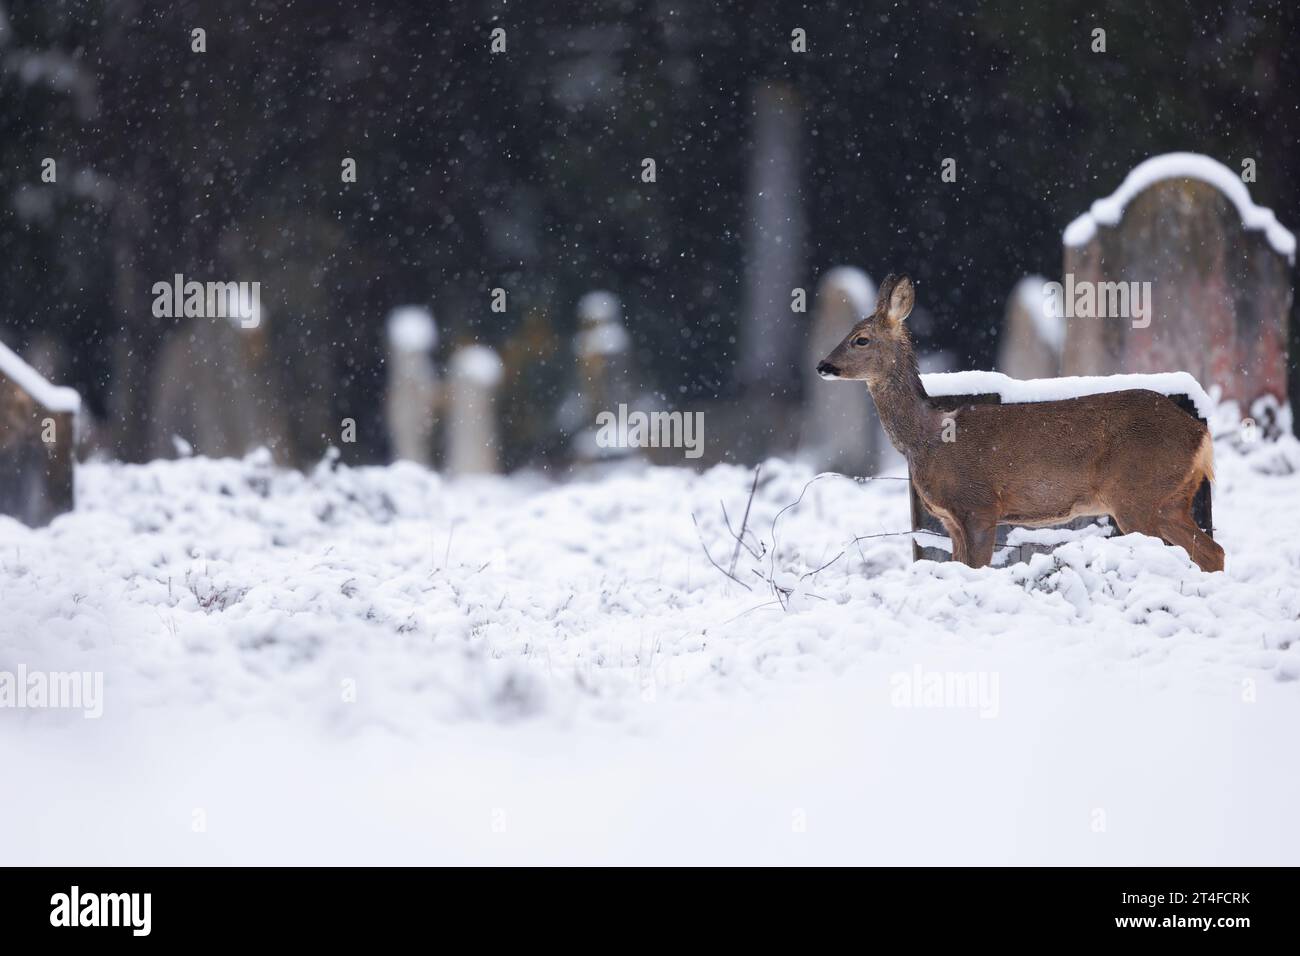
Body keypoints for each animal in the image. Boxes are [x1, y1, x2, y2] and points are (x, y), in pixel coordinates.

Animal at [816, 274, 1224, 573]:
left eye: (861, 339)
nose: (823, 365)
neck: (926, 437)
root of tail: (1200, 434)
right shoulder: (950, 520)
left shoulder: (978, 504)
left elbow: (977, 567)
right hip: (1170, 499)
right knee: (1212, 551)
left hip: (1136, 492)